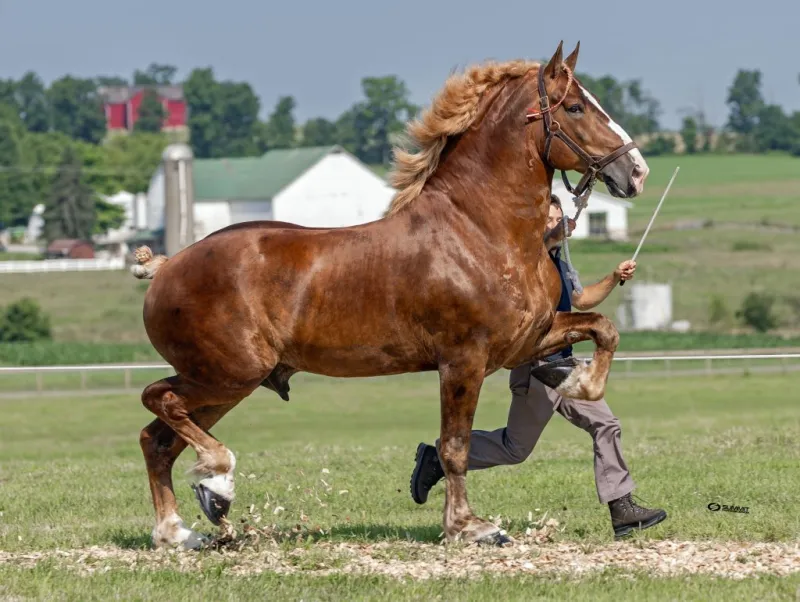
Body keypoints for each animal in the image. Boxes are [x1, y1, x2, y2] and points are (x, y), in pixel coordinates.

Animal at [131, 40, 650, 549]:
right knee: (160, 401)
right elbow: (454, 446)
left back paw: (178, 531)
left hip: (228, 382)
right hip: (228, 373)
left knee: (158, 439)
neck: (480, 230)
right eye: (577, 107)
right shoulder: (463, 360)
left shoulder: (527, 340)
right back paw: (216, 484)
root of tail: (167, 267)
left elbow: (604, 329)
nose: (637, 171)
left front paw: (574, 381)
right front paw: (469, 526)